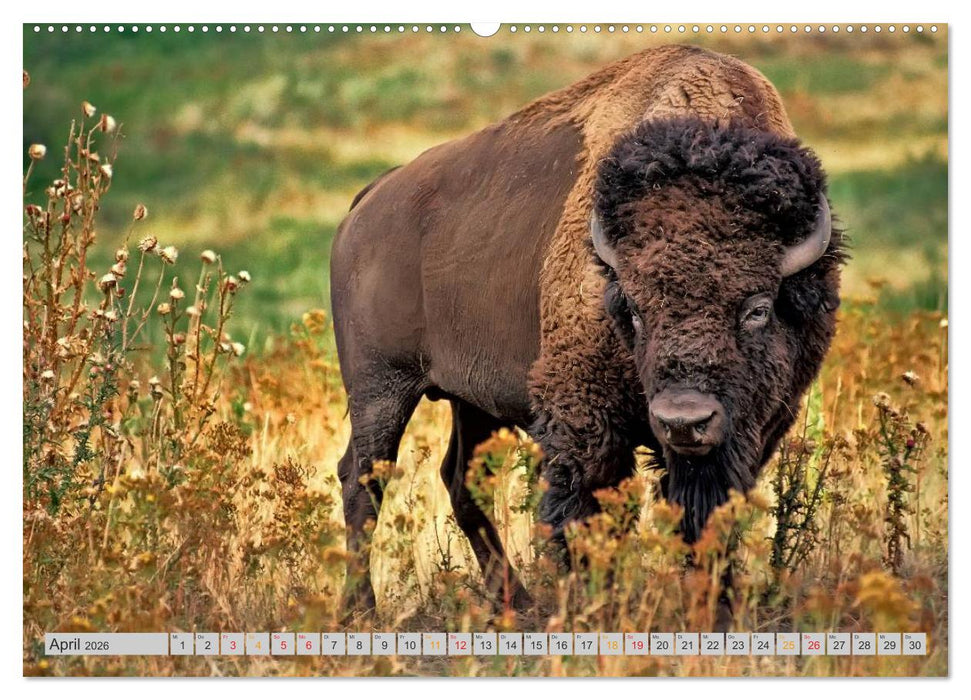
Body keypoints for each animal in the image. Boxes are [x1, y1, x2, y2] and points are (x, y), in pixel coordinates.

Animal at [330, 45, 843, 611]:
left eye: (757, 308)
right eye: (634, 310)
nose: (684, 420)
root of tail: (369, 201)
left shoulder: (754, 430)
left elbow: (707, 515)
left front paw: (715, 603)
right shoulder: (584, 420)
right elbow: (584, 513)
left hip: (470, 398)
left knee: (458, 478)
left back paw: (516, 602)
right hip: (381, 388)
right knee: (363, 479)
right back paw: (362, 608)